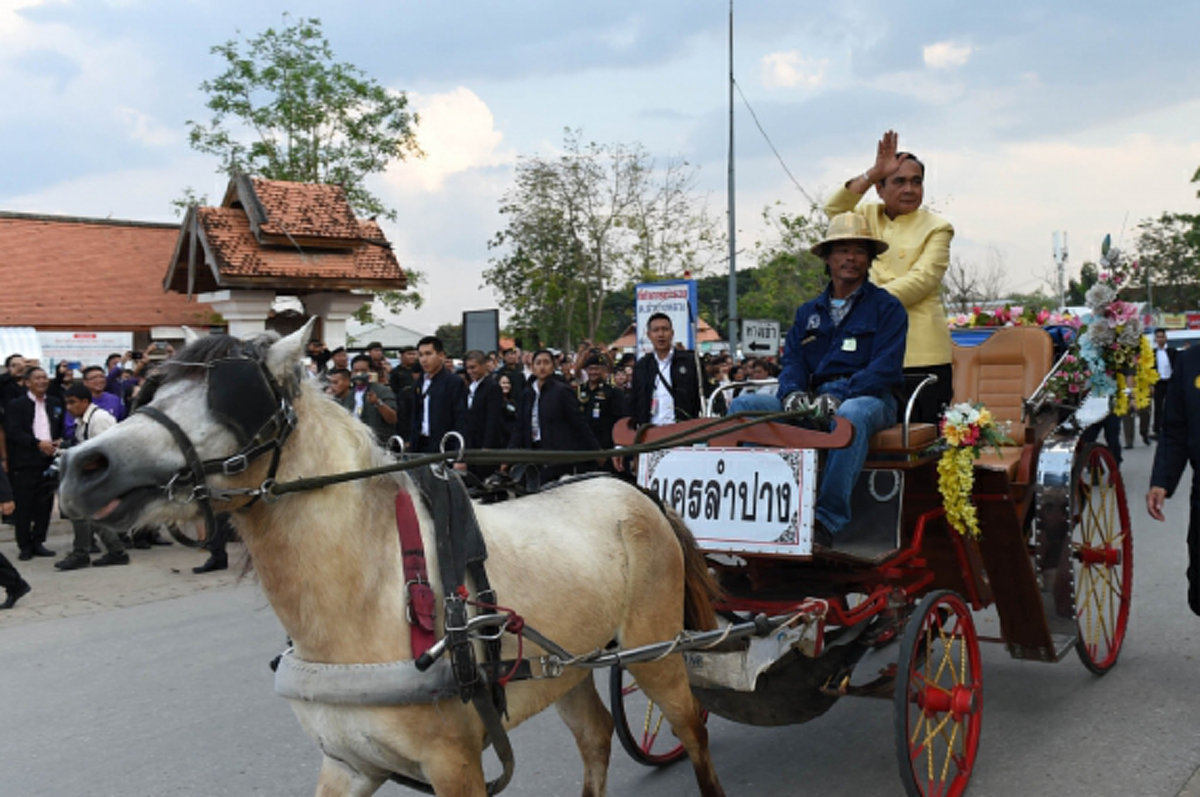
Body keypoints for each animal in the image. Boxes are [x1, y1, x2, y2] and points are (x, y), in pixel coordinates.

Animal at [58, 324, 720, 797]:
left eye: (233, 397)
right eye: (156, 389)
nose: (82, 466)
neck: (373, 593)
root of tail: (634, 491)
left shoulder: (455, 767)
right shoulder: (347, 764)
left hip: (654, 653)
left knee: (694, 728)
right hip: (569, 666)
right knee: (596, 737)